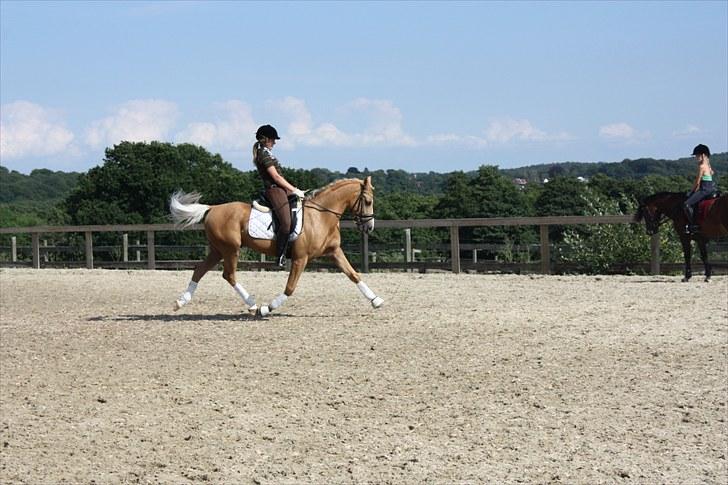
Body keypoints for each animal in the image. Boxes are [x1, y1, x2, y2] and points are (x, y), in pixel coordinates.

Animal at [170, 176, 384, 316]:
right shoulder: (300, 258)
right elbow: (290, 287)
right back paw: (253, 305)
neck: (320, 216)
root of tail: (212, 208)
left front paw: (376, 300)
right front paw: (267, 308)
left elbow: (353, 275)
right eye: (367, 201)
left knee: (200, 269)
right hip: (230, 249)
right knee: (228, 275)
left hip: (218, 250)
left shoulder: (334, 252)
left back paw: (180, 302)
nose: (370, 227)